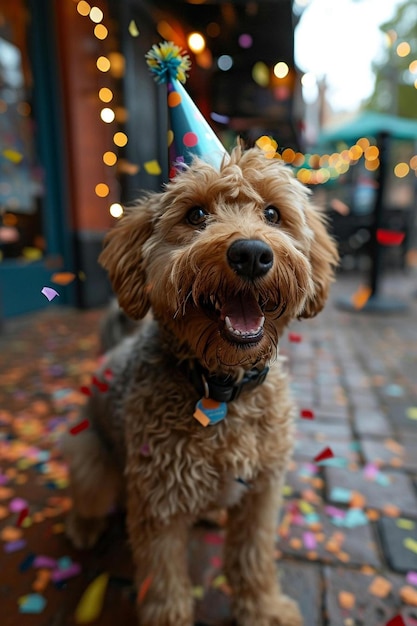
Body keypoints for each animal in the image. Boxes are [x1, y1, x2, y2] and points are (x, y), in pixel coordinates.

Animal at [61, 144, 338, 620]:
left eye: (272, 213)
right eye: (195, 215)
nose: (251, 253)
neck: (222, 388)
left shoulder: (262, 492)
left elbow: (253, 556)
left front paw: (263, 609)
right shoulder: (158, 505)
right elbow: (164, 582)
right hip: (91, 465)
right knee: (90, 498)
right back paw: (83, 527)